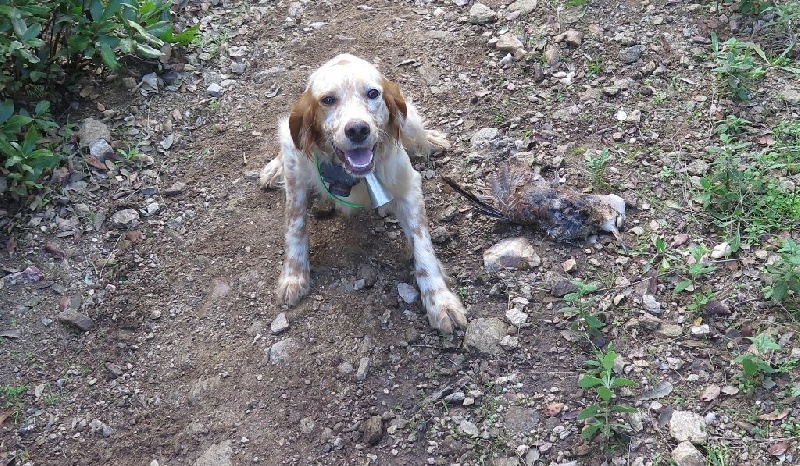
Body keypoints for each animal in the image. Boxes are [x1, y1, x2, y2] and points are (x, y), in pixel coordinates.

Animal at [260, 53, 466, 332]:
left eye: (372, 93)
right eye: (328, 99)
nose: (358, 129)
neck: (349, 173)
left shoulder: (408, 186)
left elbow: (423, 246)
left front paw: (440, 300)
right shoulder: (297, 178)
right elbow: (296, 227)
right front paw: (293, 277)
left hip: (409, 121)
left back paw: (431, 140)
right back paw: (273, 170)